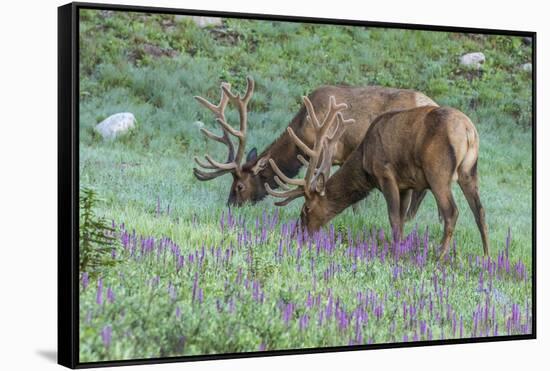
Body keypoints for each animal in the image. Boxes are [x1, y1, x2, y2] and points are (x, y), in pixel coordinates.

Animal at [268, 104, 492, 262]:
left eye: (306, 209)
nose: (297, 234)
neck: (364, 162)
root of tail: (469, 131)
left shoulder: (386, 174)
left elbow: (393, 218)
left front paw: (396, 253)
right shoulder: (406, 185)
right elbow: (401, 219)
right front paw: (401, 246)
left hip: (438, 171)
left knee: (451, 212)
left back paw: (440, 256)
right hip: (469, 171)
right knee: (479, 211)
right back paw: (487, 256)